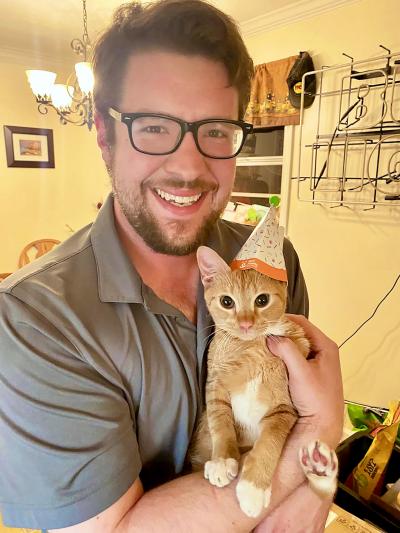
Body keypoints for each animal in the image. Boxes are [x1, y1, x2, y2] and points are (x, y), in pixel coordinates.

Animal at [191, 245, 338, 516]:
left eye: (262, 300)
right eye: (227, 301)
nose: (245, 324)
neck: (252, 349)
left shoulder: (284, 408)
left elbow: (269, 442)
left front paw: (253, 488)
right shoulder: (215, 387)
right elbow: (220, 423)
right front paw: (221, 460)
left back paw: (321, 464)